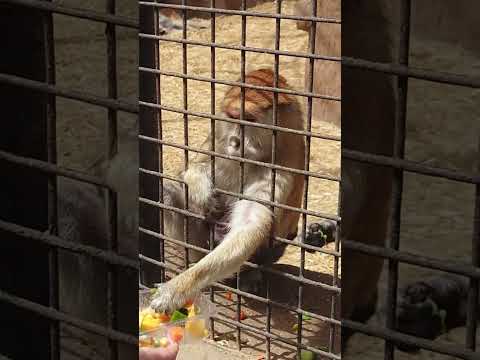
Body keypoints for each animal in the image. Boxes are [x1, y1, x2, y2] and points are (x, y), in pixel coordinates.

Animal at [151, 67, 308, 312]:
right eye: (233, 117)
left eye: (249, 119)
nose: (235, 142)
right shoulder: (218, 139)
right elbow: (194, 168)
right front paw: (202, 192)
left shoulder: (282, 167)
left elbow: (251, 226)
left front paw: (177, 289)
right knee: (166, 192)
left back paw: (248, 276)